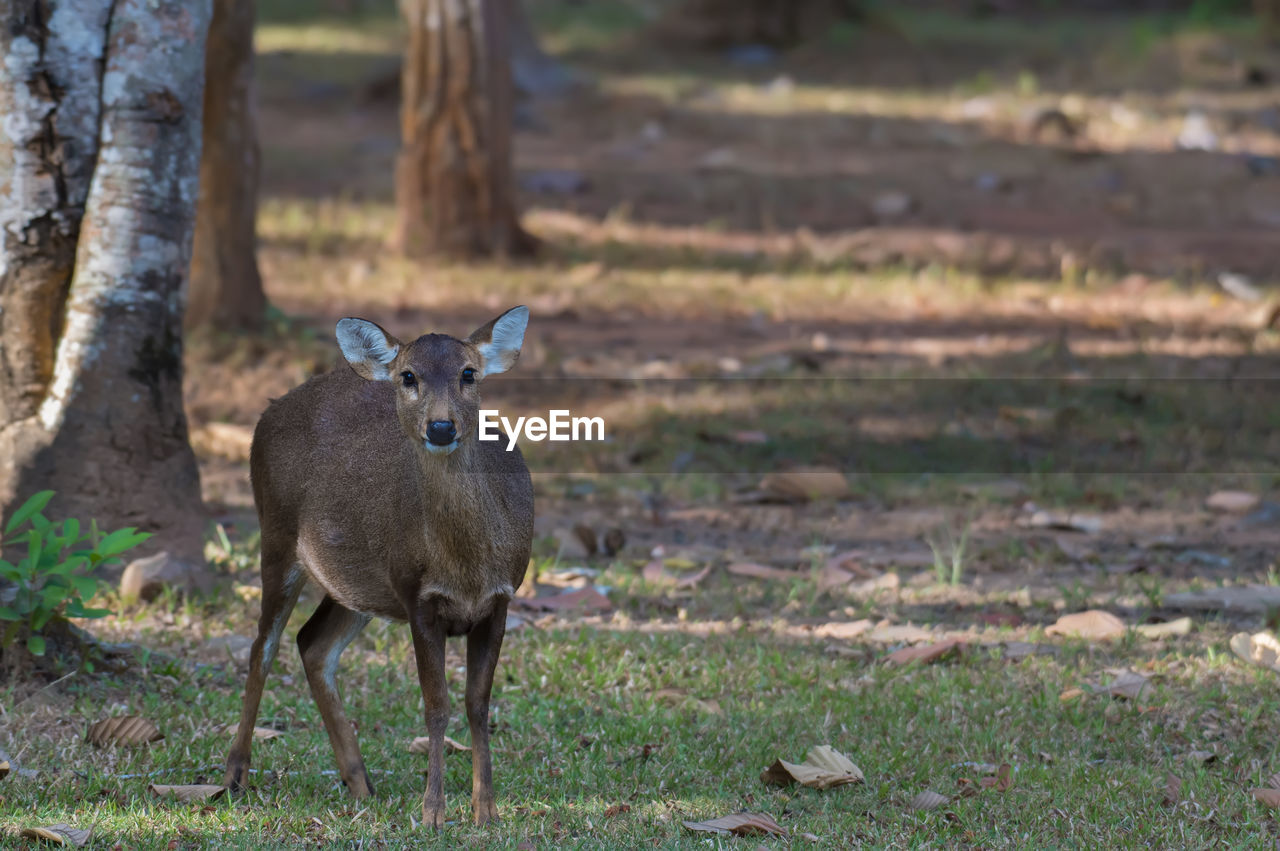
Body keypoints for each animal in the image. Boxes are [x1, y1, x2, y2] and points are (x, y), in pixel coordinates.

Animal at [222, 307, 532, 829]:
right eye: (408, 376)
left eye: (468, 373)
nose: (441, 427)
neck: (467, 568)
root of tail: (267, 411)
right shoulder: (418, 596)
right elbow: (436, 706)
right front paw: (433, 813)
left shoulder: (501, 598)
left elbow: (477, 704)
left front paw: (486, 810)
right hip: (277, 536)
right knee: (263, 647)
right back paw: (234, 775)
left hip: (357, 582)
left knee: (313, 644)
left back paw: (360, 782)